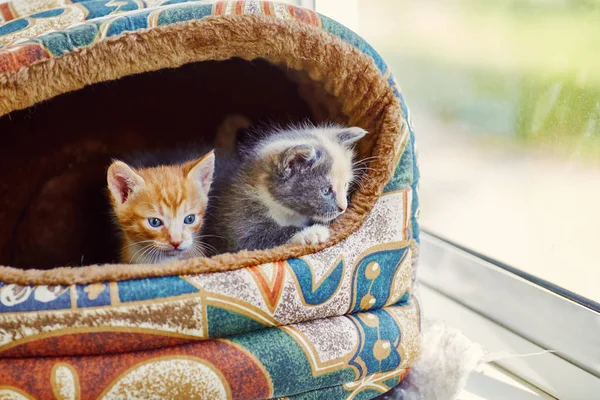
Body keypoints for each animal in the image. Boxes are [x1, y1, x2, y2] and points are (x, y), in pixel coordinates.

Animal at [205, 123, 366, 252]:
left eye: (345, 185)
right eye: (326, 191)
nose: (343, 207)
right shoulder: (239, 225)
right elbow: (264, 237)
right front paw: (312, 232)